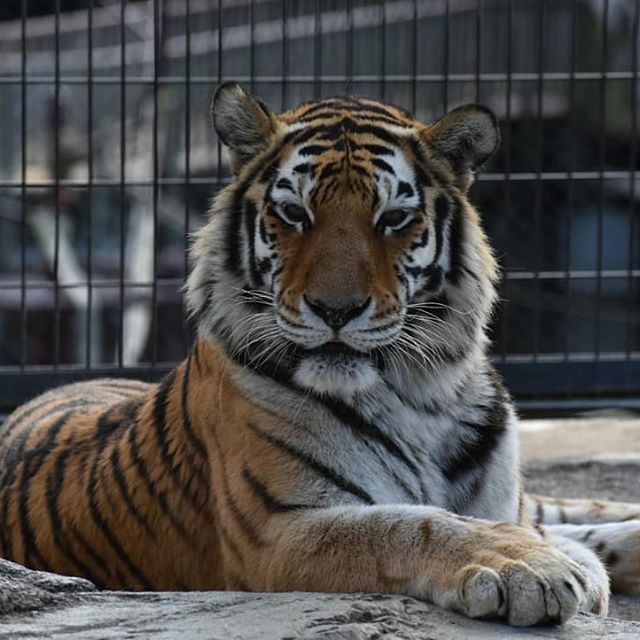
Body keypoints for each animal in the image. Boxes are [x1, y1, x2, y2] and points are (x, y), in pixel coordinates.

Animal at [1, 82, 640, 628]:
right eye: (294, 214)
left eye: (393, 218)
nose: (336, 310)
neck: (425, 394)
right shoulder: (277, 533)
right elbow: (412, 525)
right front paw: (531, 568)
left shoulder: (500, 499)